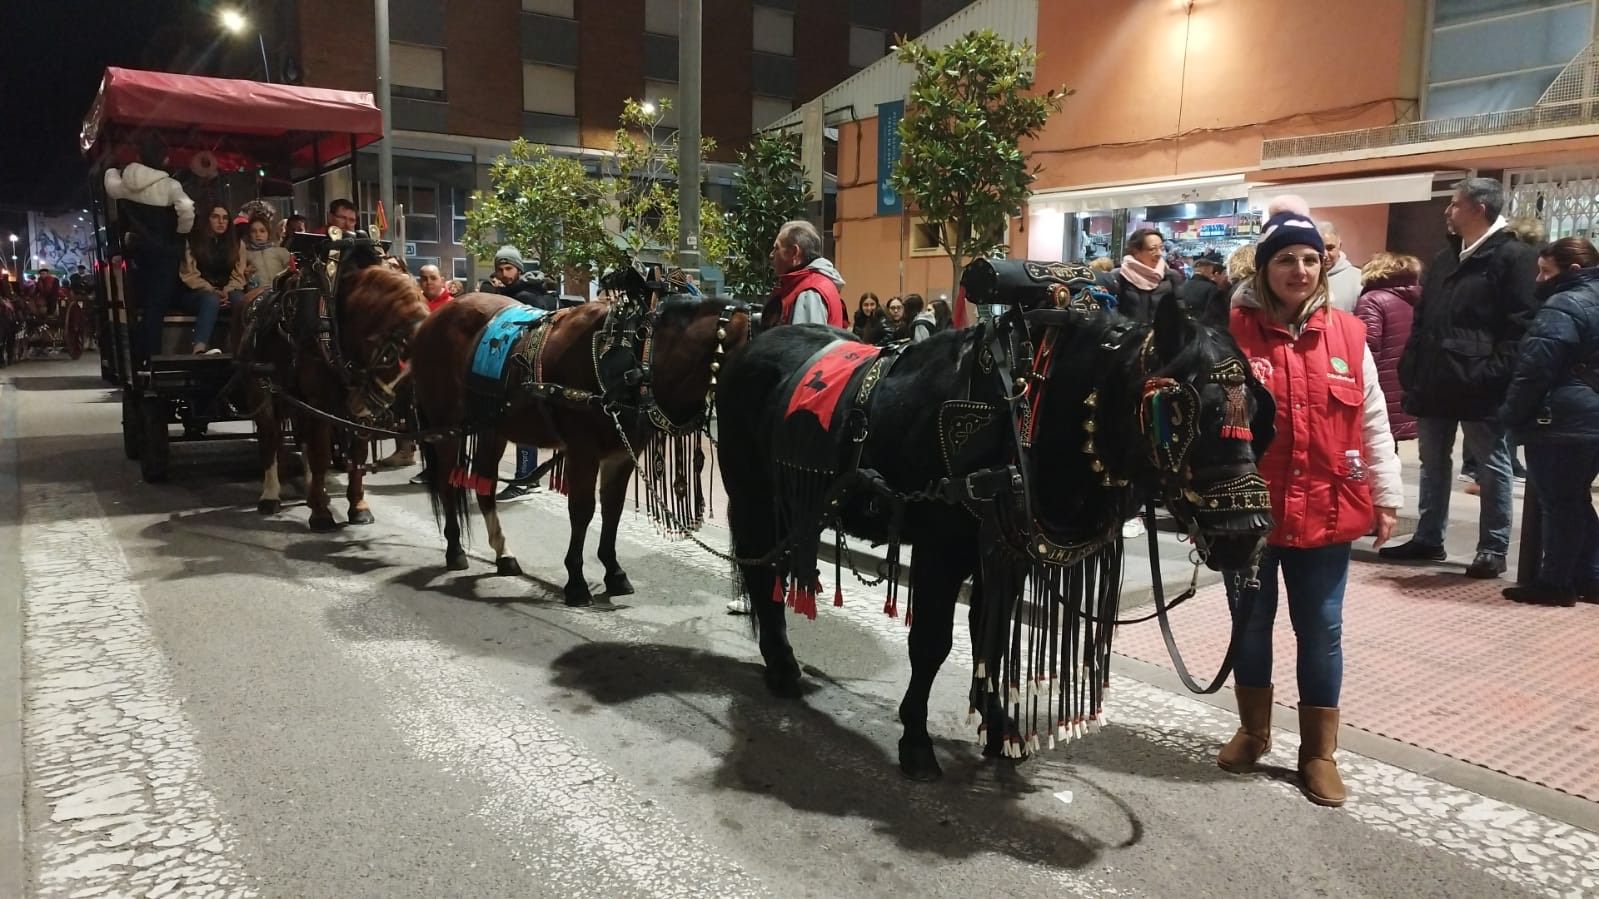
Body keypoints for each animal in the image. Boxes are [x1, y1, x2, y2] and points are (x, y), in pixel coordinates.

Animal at [233, 260, 428, 524]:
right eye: (388, 357)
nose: (367, 403)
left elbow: (357, 455)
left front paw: (358, 506)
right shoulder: (320, 403)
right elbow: (321, 455)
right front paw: (320, 514)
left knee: (302, 438)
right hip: (260, 391)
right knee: (270, 437)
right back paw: (270, 495)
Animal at [406, 291, 741, 604]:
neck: (632, 358)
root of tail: (431, 319)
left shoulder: (621, 454)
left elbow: (612, 509)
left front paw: (614, 572)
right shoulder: (583, 451)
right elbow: (582, 511)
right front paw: (577, 582)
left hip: (492, 427)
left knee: (483, 487)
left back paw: (504, 554)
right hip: (447, 426)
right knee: (447, 485)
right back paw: (454, 550)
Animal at [719, 259, 1279, 777]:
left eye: (1256, 411)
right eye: (1181, 413)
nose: (1246, 535)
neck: (1021, 412)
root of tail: (755, 342)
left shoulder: (1007, 552)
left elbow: (990, 634)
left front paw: (999, 728)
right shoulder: (940, 551)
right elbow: (931, 642)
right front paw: (916, 739)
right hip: (752, 498)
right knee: (760, 570)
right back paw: (782, 666)